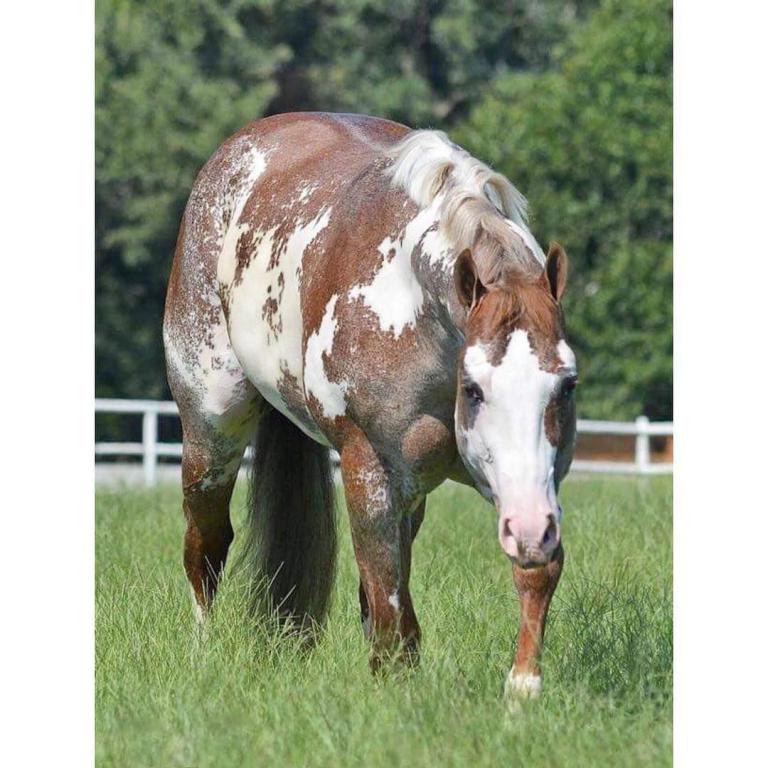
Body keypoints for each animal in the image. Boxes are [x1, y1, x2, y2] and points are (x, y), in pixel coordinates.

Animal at [163, 112, 577, 696]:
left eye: (566, 385)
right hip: (211, 431)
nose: (531, 529)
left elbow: (532, 570)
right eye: (473, 388)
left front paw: (523, 687)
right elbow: (388, 608)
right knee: (207, 547)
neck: (419, 313)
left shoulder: (531, 486)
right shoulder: (370, 471)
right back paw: (203, 652)